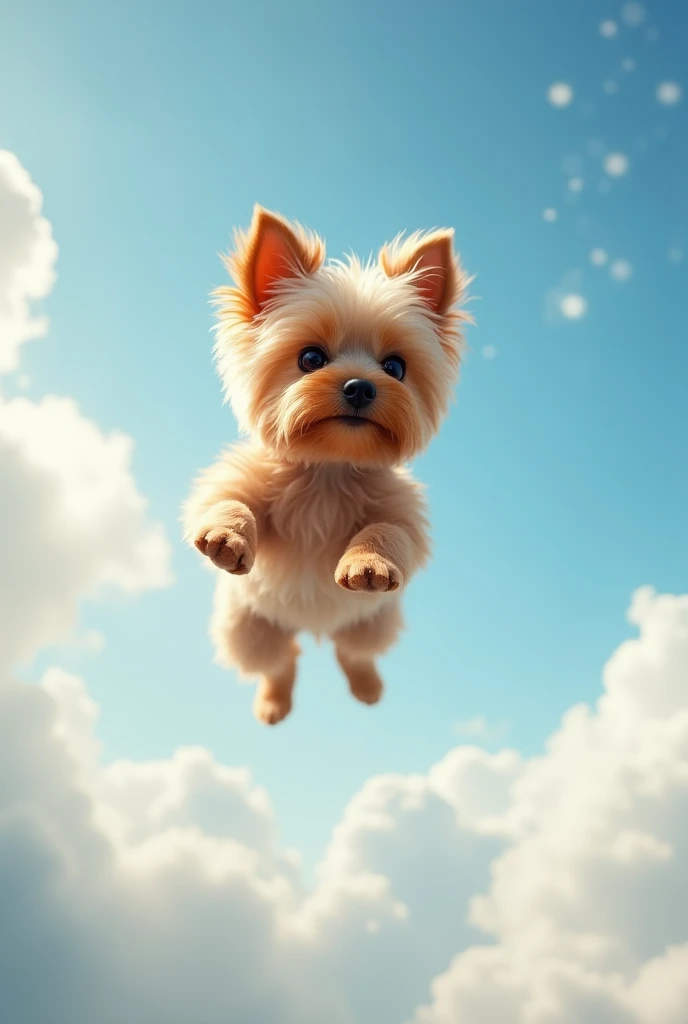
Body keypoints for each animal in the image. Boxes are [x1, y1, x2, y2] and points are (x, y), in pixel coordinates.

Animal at [185, 203, 470, 724]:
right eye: (311, 358)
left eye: (395, 367)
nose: (359, 386)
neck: (328, 467)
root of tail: (309, 626)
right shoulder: (245, 479)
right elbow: (229, 501)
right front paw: (226, 536)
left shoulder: (403, 514)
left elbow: (390, 531)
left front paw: (368, 562)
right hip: (248, 628)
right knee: (281, 660)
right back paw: (274, 701)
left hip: (372, 620)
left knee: (351, 651)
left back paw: (367, 685)